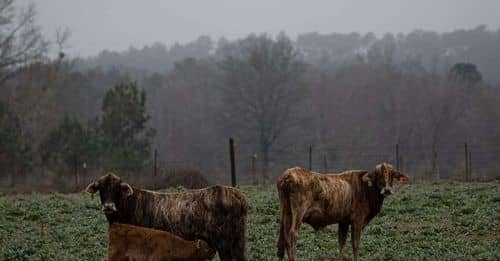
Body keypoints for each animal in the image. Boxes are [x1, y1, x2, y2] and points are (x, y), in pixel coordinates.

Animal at [88, 173, 250, 260]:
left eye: (117, 189)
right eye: (101, 189)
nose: (108, 206)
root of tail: (236, 194)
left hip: (224, 244)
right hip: (238, 241)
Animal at [276, 161, 408, 258]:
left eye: (392, 175)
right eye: (378, 174)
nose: (387, 190)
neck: (367, 190)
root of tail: (288, 174)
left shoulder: (344, 221)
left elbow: (341, 242)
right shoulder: (357, 220)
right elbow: (355, 244)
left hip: (286, 212)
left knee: (283, 239)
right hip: (299, 212)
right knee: (292, 234)